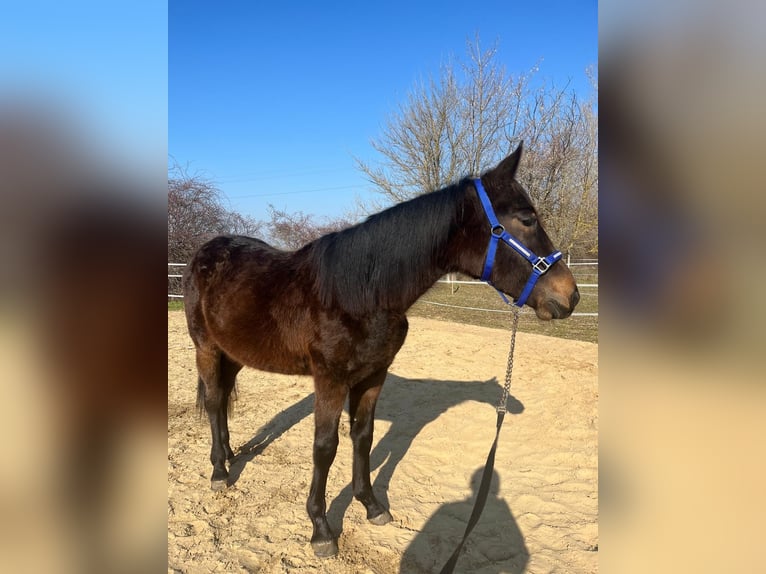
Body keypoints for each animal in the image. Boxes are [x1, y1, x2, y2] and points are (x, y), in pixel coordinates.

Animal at [183, 143, 580, 560]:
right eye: (526, 219)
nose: (570, 296)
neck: (362, 294)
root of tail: (205, 252)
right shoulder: (330, 381)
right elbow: (325, 447)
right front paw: (321, 529)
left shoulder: (373, 376)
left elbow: (363, 437)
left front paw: (372, 505)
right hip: (205, 348)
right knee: (214, 401)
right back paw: (219, 471)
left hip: (234, 354)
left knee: (222, 396)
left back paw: (229, 455)